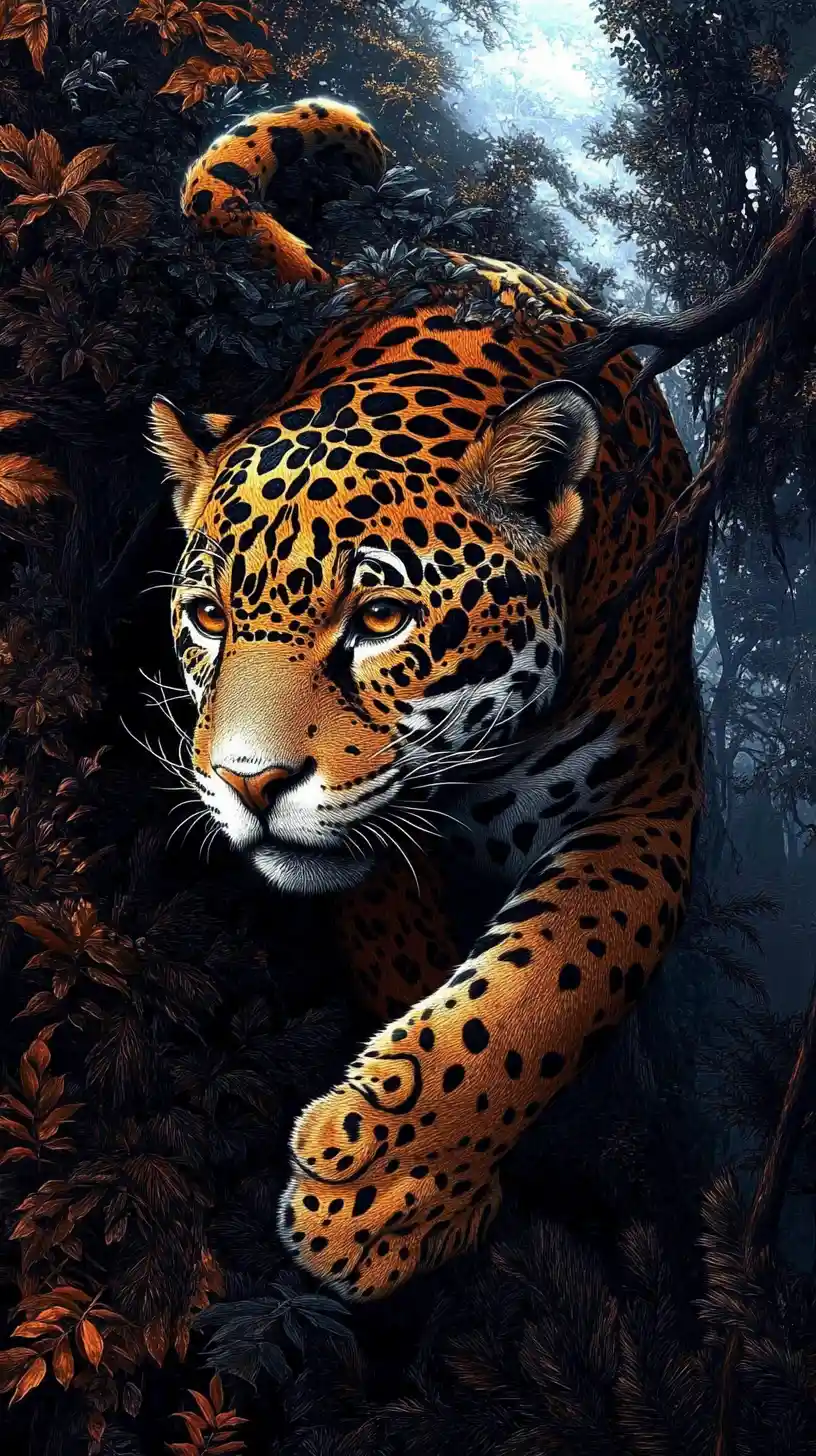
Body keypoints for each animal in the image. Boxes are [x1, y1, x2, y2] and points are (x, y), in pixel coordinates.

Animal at [148, 96, 706, 1301]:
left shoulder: (648, 791)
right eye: (209, 616)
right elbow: (409, 950)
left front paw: (369, 1192)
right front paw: (405, 1188)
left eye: (379, 620)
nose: (247, 784)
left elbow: (552, 984)